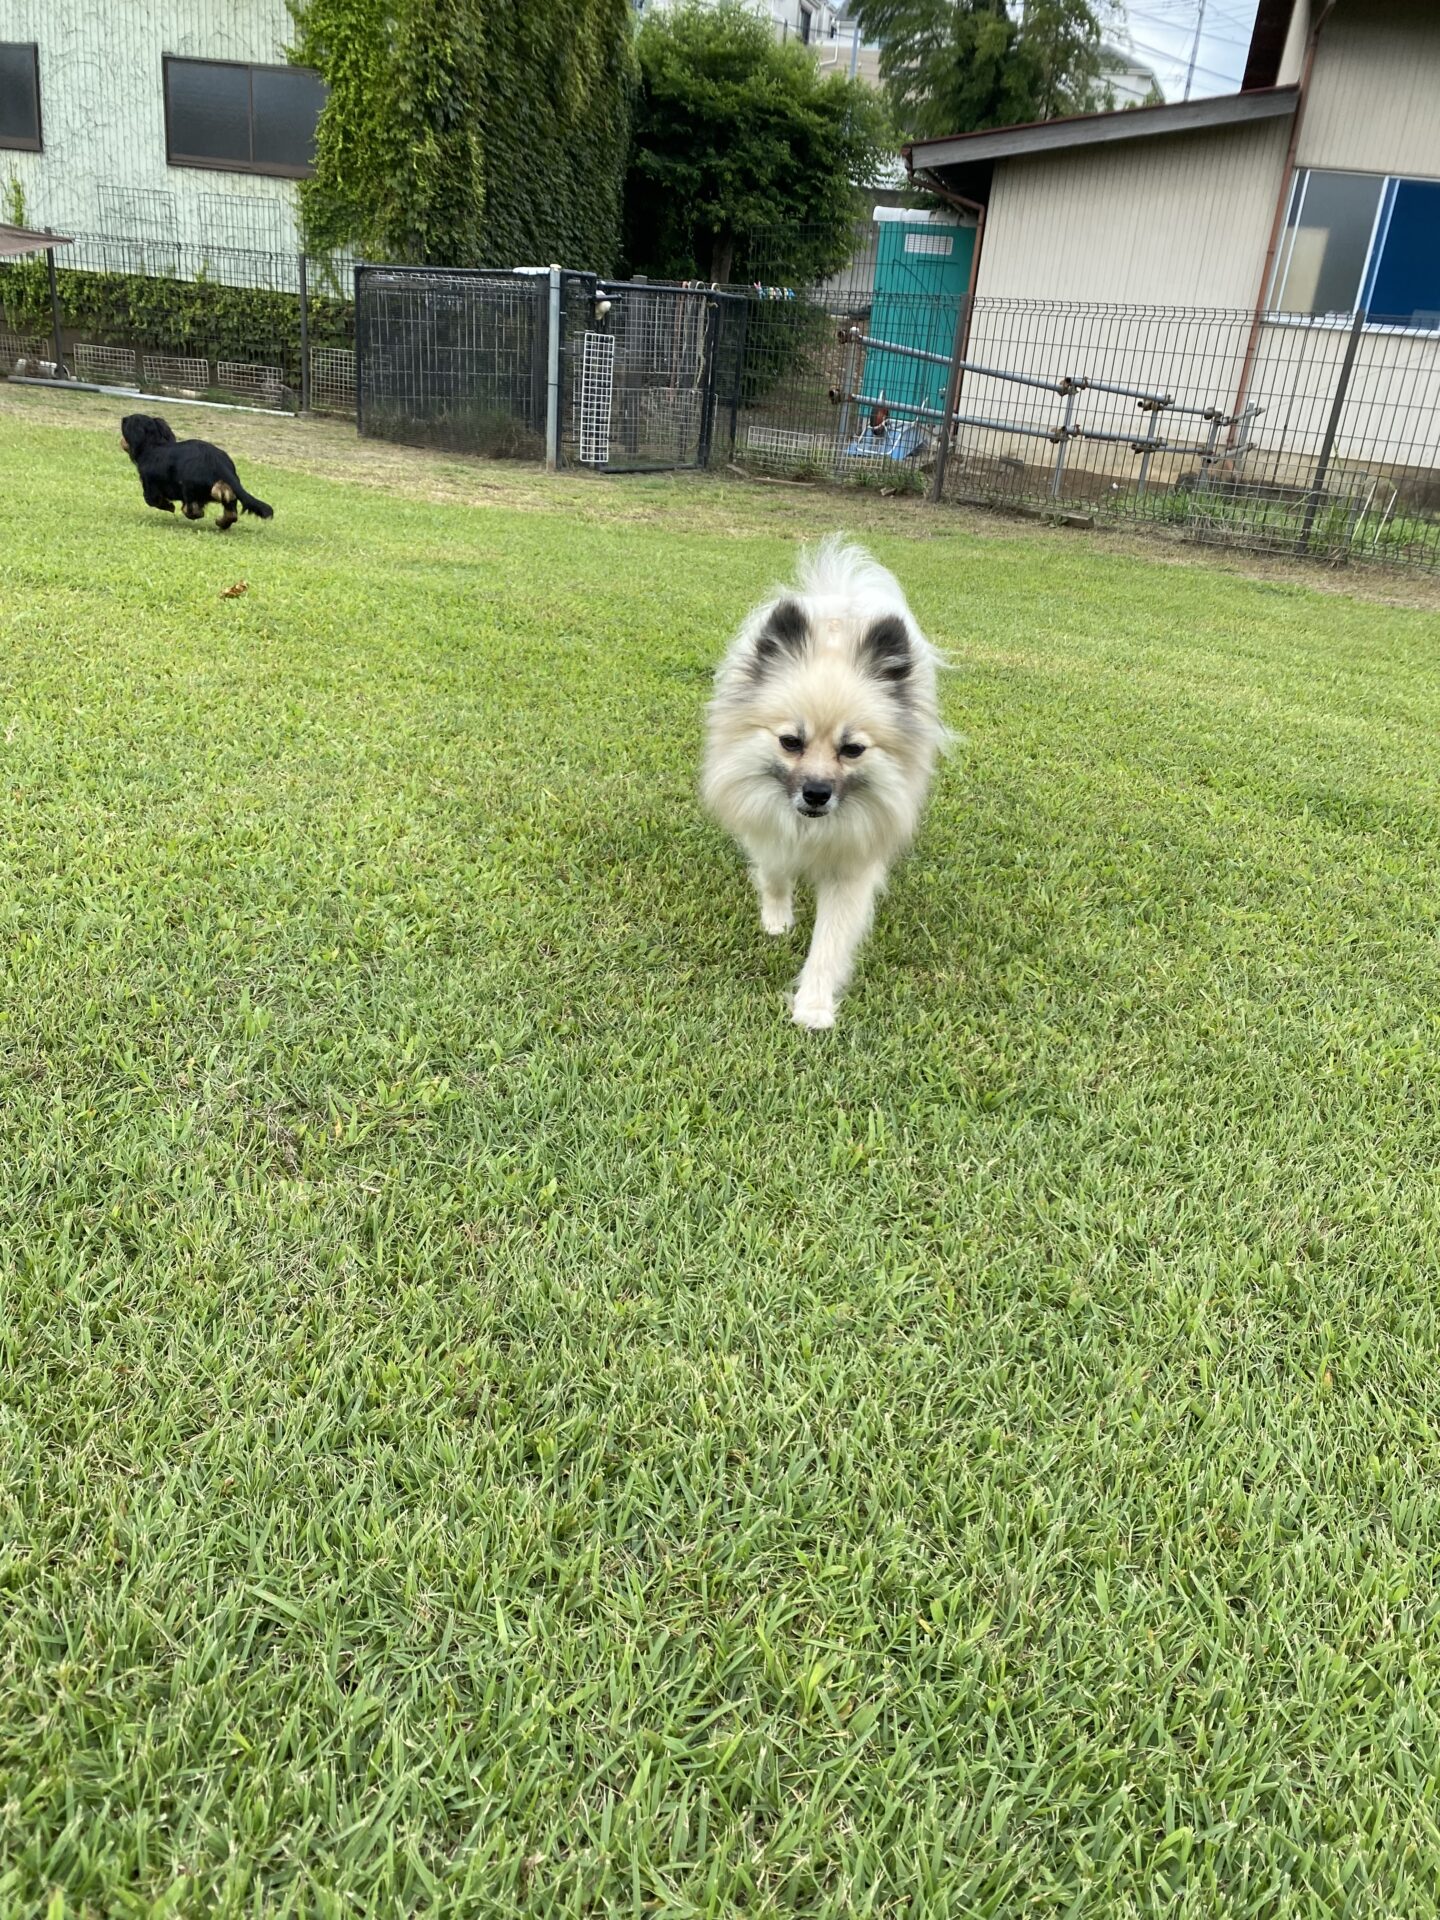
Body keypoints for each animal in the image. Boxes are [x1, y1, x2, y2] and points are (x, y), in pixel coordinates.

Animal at [120, 414, 273, 530]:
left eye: (126, 424)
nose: (123, 418)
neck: (154, 445)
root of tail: (218, 462)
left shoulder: (150, 485)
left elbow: (152, 500)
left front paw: (169, 506)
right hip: (226, 489)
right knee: (231, 511)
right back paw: (221, 522)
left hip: (189, 487)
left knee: (192, 510)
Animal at [702, 538, 945, 1030]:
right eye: (790, 742)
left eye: (852, 749)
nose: (816, 793)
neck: (809, 830)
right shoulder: (768, 828)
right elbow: (774, 874)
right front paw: (777, 918)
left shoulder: (853, 864)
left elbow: (830, 940)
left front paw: (813, 1003)